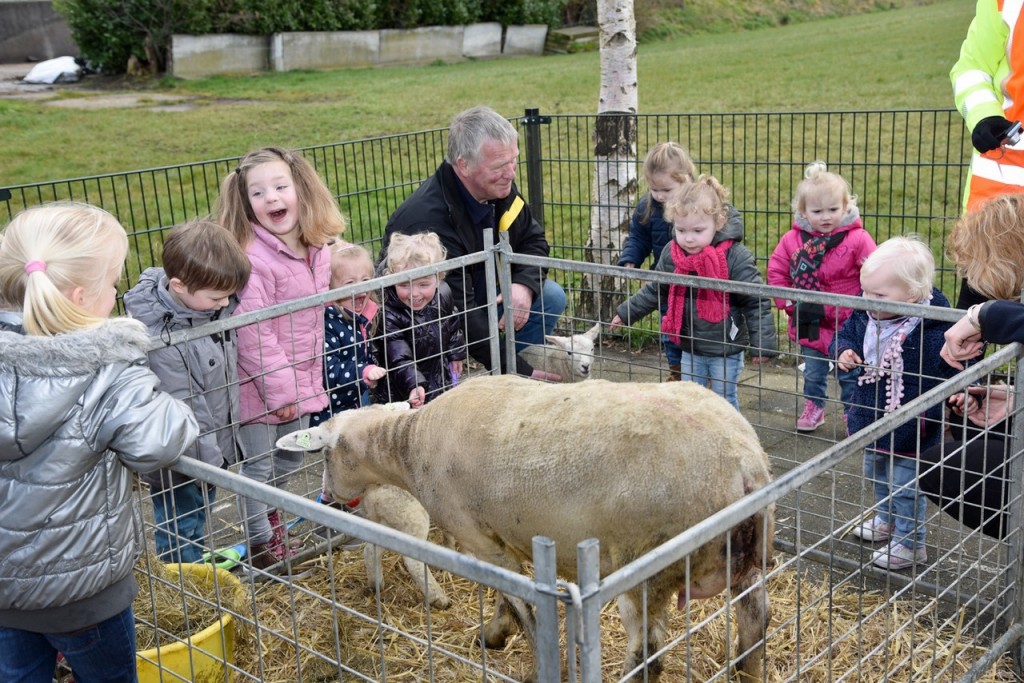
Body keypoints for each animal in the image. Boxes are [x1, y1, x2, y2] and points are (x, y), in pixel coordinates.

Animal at [276, 376, 770, 679]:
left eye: (323, 454)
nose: (326, 495)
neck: (408, 444)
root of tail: (745, 465)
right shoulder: (497, 538)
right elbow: (504, 597)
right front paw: (495, 634)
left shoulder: (477, 538)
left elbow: (523, 607)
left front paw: (536, 662)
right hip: (745, 561)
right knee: (756, 622)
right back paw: (748, 671)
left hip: (646, 568)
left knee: (646, 657)